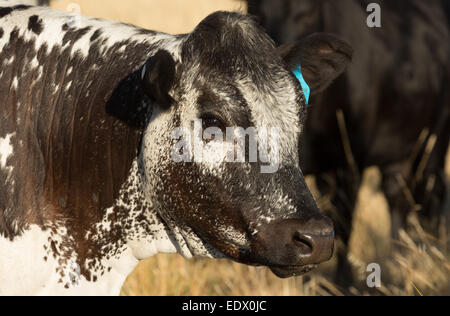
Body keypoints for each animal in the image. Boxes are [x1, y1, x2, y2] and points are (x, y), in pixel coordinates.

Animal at [246, 0, 450, 286]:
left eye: (307, 10)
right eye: (255, 10)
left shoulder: (348, 160)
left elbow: (342, 224)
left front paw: (342, 283)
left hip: (434, 144)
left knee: (431, 197)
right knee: (397, 196)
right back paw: (398, 261)